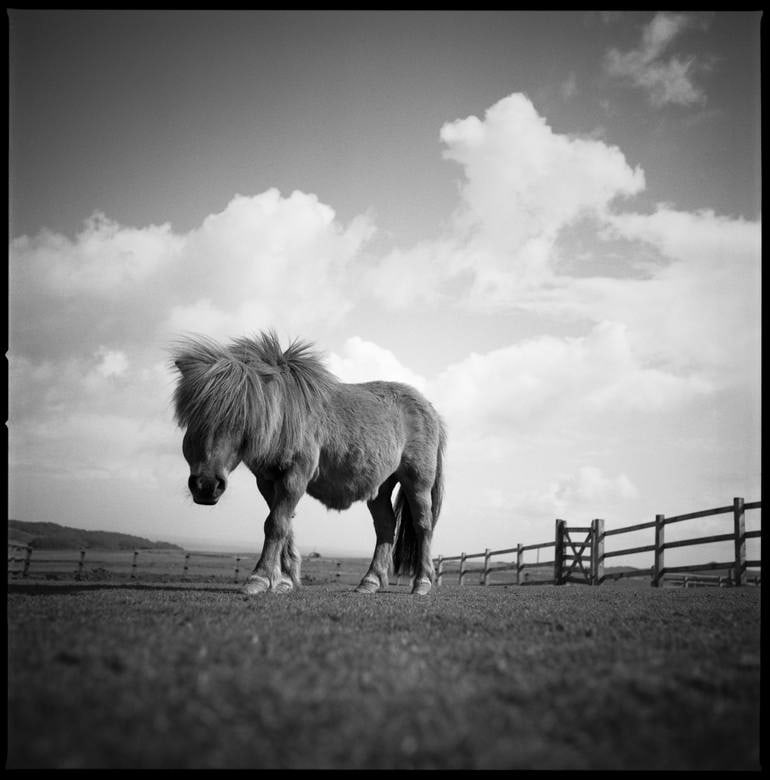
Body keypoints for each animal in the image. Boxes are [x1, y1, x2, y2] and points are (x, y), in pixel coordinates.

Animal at [170, 331, 446, 596]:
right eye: (194, 419)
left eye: (242, 420)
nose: (206, 485)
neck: (285, 416)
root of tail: (430, 408)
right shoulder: (267, 481)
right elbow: (283, 524)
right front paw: (283, 580)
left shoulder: (296, 475)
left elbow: (276, 524)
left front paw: (259, 579)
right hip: (380, 487)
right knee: (385, 527)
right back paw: (370, 582)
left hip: (417, 482)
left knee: (423, 526)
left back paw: (422, 583)